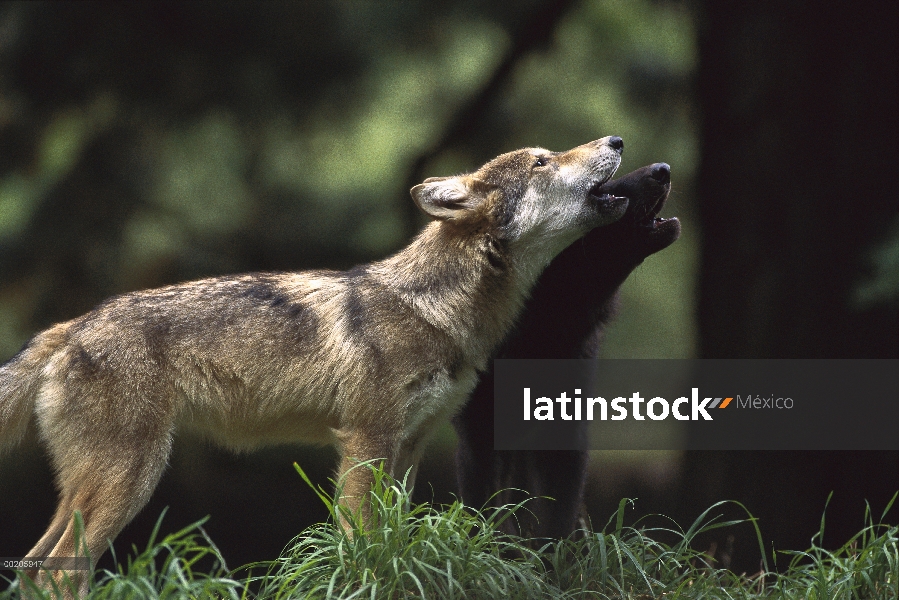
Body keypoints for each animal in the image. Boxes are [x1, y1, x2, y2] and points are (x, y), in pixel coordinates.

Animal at [1, 136, 624, 592]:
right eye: (543, 160)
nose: (615, 140)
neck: (434, 309)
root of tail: (71, 326)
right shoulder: (366, 440)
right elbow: (361, 540)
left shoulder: (411, 444)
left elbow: (391, 535)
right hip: (130, 479)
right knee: (57, 573)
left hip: (94, 490)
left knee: (35, 570)